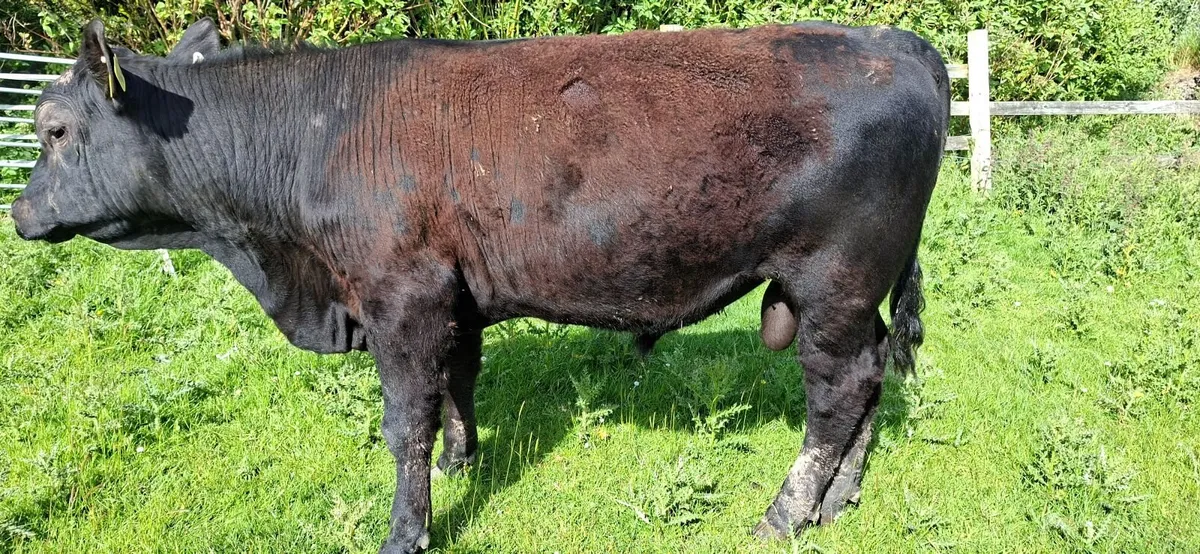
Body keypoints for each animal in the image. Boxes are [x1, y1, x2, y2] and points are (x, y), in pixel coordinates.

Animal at [11, 18, 949, 553]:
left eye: (54, 129)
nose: (17, 211)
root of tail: (896, 40)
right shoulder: (451, 297)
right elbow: (457, 385)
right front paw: (462, 465)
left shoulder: (400, 296)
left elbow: (404, 422)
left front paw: (408, 528)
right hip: (855, 294)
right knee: (869, 382)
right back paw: (840, 499)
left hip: (832, 279)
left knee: (836, 393)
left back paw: (787, 513)